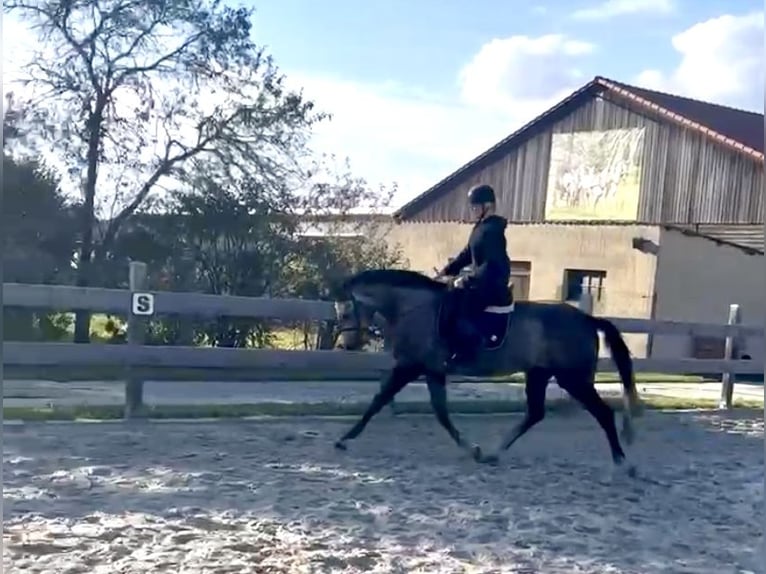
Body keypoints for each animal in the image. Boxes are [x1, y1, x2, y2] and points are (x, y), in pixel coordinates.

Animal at [332, 268, 644, 474]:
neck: (415, 308)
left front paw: (344, 440)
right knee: (535, 413)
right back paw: (494, 453)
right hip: (539, 374)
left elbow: (378, 401)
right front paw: (475, 450)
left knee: (603, 413)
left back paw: (623, 463)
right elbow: (441, 413)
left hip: (573, 379)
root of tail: (588, 319)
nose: (343, 346)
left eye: (346, 312)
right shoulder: (432, 371)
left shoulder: (409, 366)